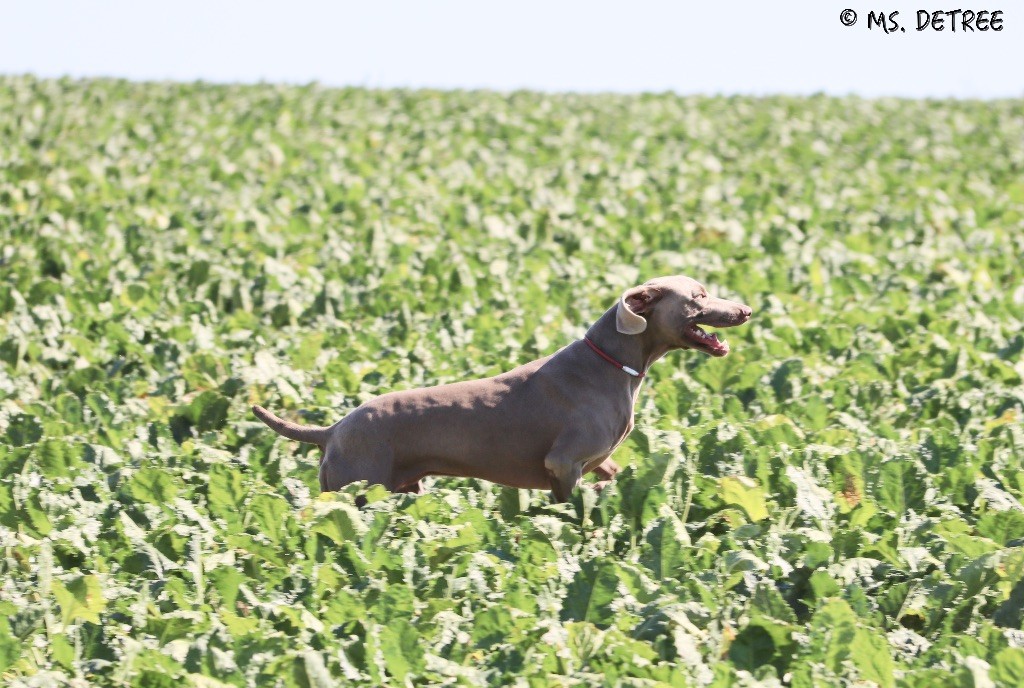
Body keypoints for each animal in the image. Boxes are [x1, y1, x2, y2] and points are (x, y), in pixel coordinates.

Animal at [256, 274, 753, 499]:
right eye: (700, 296)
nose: (746, 309)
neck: (613, 363)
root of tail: (333, 429)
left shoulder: (592, 460)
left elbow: (612, 472)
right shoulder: (563, 462)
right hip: (358, 486)